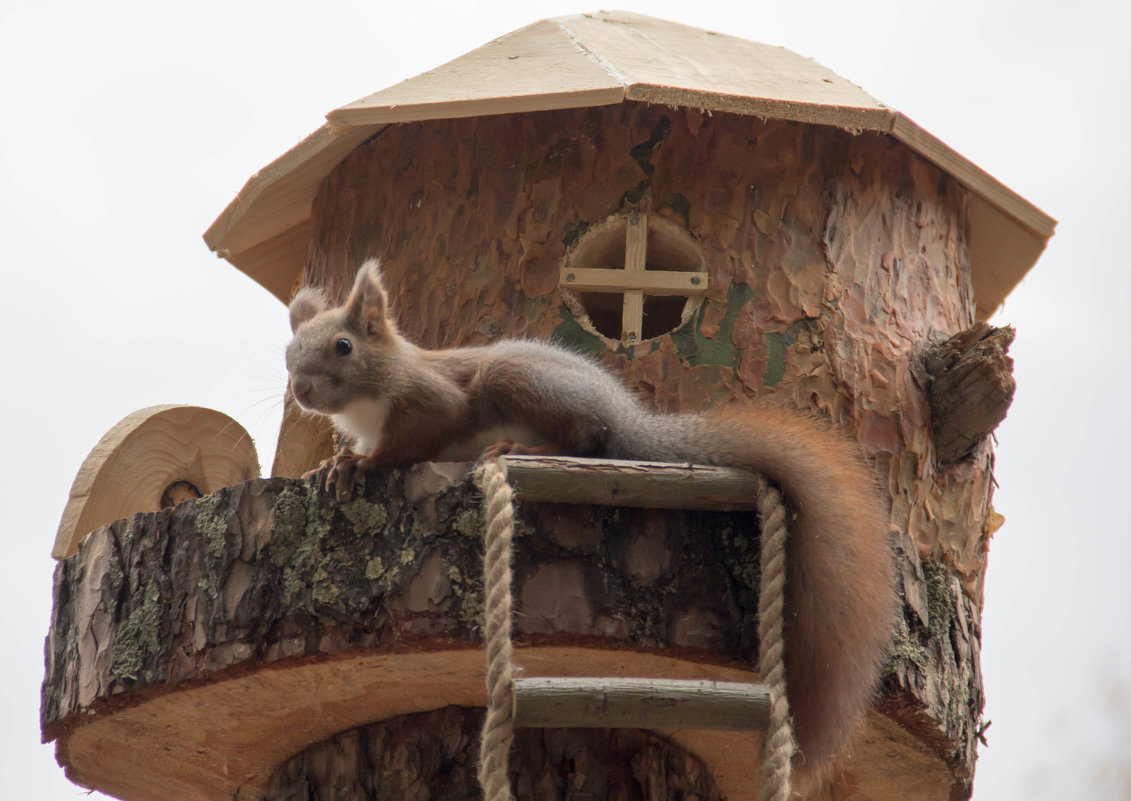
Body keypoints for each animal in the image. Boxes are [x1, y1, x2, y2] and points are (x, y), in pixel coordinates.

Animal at [287, 257, 895, 787]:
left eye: (344, 346)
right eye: (289, 352)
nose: (300, 390)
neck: (371, 399)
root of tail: (630, 417)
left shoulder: (432, 403)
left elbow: (413, 440)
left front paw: (359, 464)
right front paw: (331, 463)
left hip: (515, 377)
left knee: (589, 434)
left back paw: (522, 446)